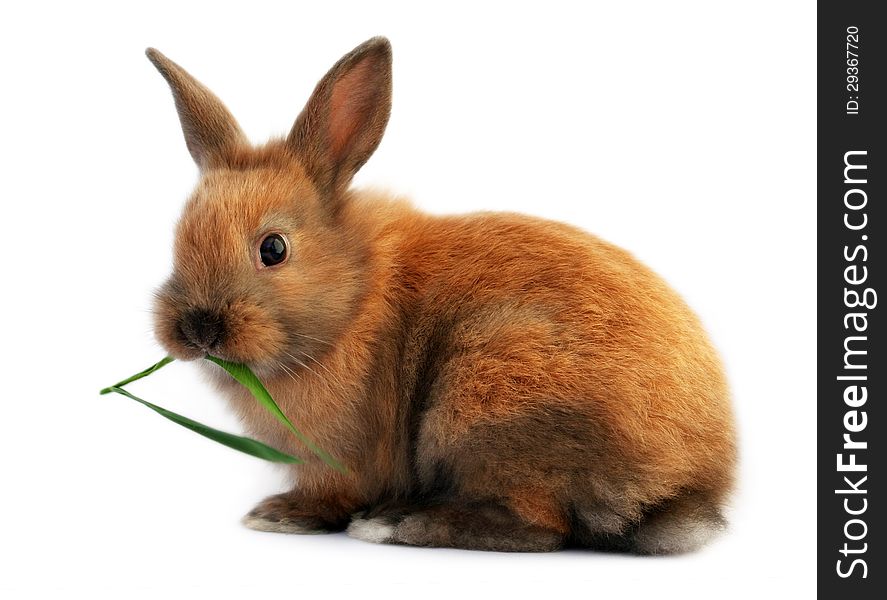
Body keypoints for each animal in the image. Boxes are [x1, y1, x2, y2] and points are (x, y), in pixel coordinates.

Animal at [149, 36, 740, 552]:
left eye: (273, 248)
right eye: (179, 237)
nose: (198, 326)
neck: (352, 301)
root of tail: (692, 480)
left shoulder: (338, 460)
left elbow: (331, 494)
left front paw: (280, 515)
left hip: (487, 400)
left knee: (541, 526)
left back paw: (395, 523)